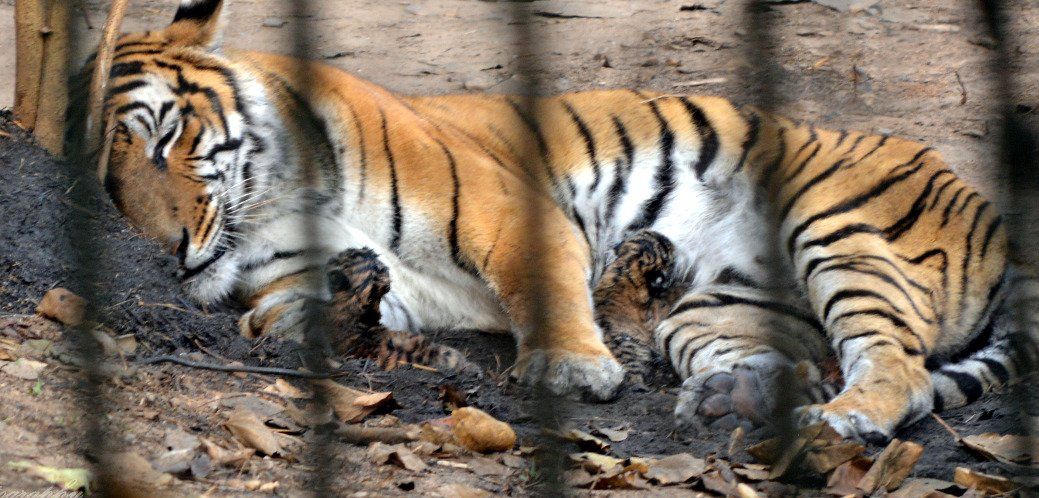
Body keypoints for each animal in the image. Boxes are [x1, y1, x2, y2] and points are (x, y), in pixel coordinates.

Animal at [72, 0, 1038, 441]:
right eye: (104, 182)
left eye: (162, 139)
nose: (167, 252)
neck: (269, 199)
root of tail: (994, 223)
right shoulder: (330, 288)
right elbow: (295, 315)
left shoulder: (510, 207)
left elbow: (542, 285)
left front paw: (570, 368)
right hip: (715, 306)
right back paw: (734, 397)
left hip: (838, 225)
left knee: (900, 368)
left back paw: (838, 422)